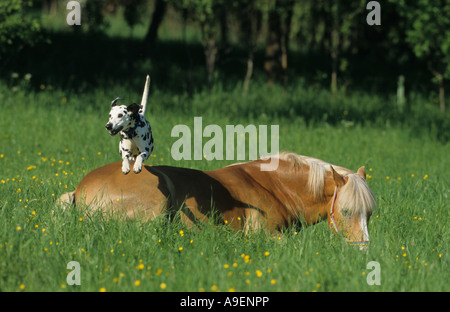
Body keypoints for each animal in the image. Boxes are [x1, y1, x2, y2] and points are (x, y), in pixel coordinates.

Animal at [59, 152, 376, 247]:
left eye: (369, 214)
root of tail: (80, 189)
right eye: (346, 211)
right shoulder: (266, 235)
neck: (275, 186)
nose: (362, 248)